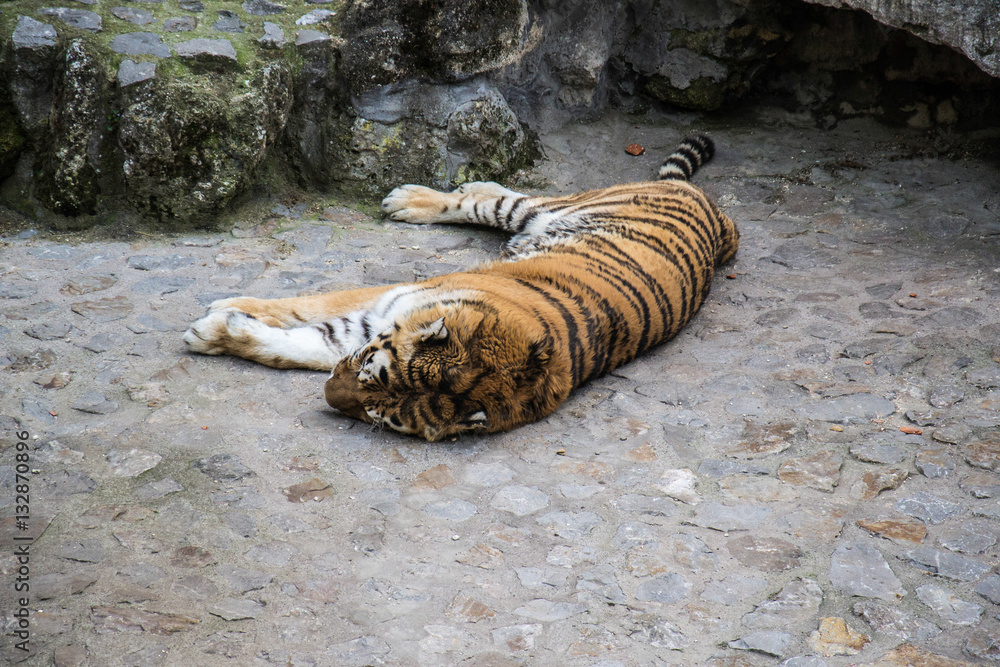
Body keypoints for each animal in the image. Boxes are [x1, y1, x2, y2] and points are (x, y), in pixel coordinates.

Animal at [183, 135, 739, 441]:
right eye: (368, 374)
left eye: (380, 414)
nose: (325, 398)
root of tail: (712, 210)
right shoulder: (385, 304)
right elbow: (304, 305)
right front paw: (223, 309)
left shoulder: (366, 328)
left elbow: (299, 344)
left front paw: (216, 329)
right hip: (547, 209)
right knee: (486, 196)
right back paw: (409, 198)